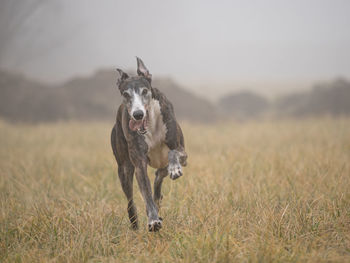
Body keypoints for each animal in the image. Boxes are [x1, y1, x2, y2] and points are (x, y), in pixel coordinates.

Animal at [111, 57, 189, 231]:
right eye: (125, 94)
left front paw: (175, 169)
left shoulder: (183, 153)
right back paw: (136, 224)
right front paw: (153, 220)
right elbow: (146, 193)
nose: (138, 114)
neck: (151, 124)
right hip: (124, 169)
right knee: (131, 200)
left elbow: (173, 152)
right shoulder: (139, 163)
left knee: (158, 180)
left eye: (144, 91)